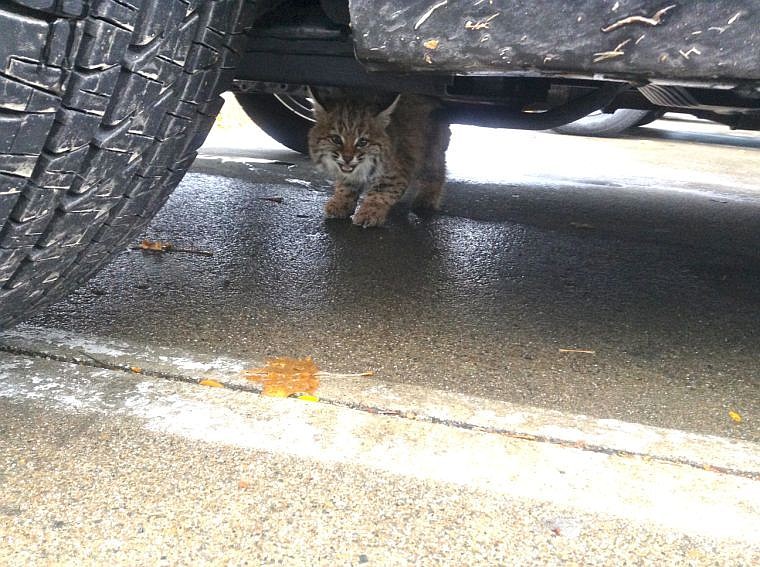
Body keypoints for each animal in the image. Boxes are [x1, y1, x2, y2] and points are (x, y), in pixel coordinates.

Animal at [308, 92, 452, 227]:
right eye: (336, 139)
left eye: (362, 142)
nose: (347, 158)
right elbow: (346, 185)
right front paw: (341, 203)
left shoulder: (396, 172)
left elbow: (381, 192)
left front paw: (369, 212)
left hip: (430, 152)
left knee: (437, 171)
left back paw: (427, 199)